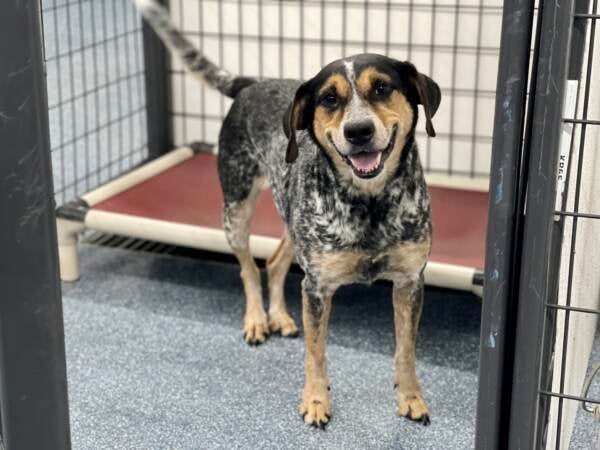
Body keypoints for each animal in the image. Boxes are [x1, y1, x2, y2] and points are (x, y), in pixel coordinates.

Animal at [134, 0, 438, 428]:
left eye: (382, 87)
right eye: (329, 99)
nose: (358, 131)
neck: (370, 203)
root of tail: (251, 83)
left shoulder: (410, 281)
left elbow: (406, 351)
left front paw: (411, 398)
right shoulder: (317, 287)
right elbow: (316, 352)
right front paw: (316, 400)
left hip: (295, 224)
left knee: (275, 262)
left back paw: (278, 315)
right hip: (236, 207)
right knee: (248, 267)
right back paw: (257, 320)